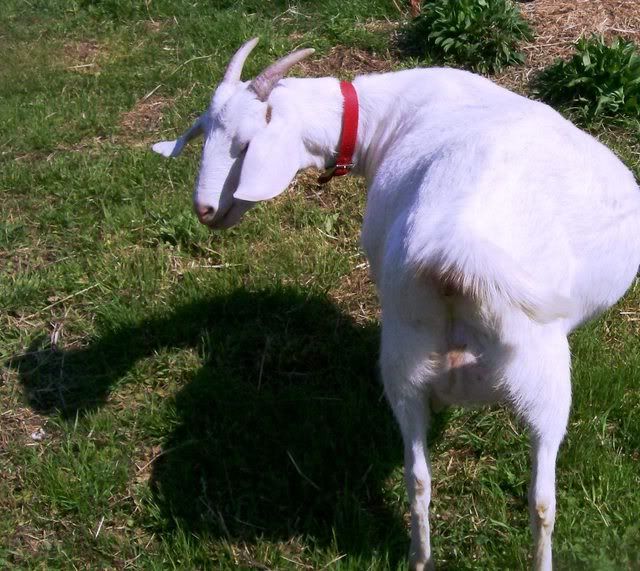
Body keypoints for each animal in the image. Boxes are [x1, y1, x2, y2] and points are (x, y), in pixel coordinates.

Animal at [152, 38, 640, 570]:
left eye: (242, 144)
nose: (205, 210)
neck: (384, 116)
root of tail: (454, 252)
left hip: (404, 364)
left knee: (418, 479)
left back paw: (418, 556)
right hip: (541, 378)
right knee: (542, 499)